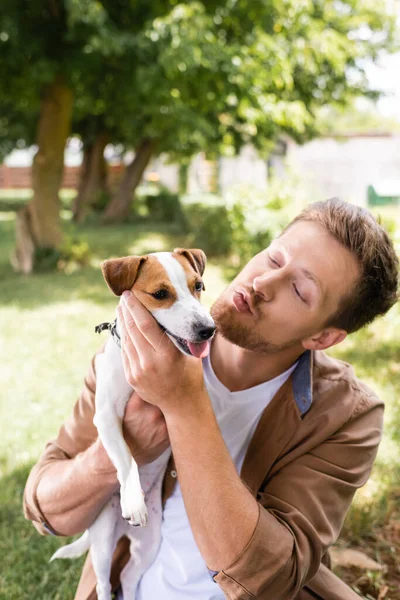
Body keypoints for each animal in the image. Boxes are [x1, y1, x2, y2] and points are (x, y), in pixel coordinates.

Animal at [51, 247, 217, 600]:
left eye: (198, 286)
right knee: (104, 581)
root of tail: (124, 532)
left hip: (149, 544)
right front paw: (133, 498)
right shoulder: (107, 416)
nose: (208, 329)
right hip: (102, 543)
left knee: (128, 576)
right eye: (160, 294)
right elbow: (127, 461)